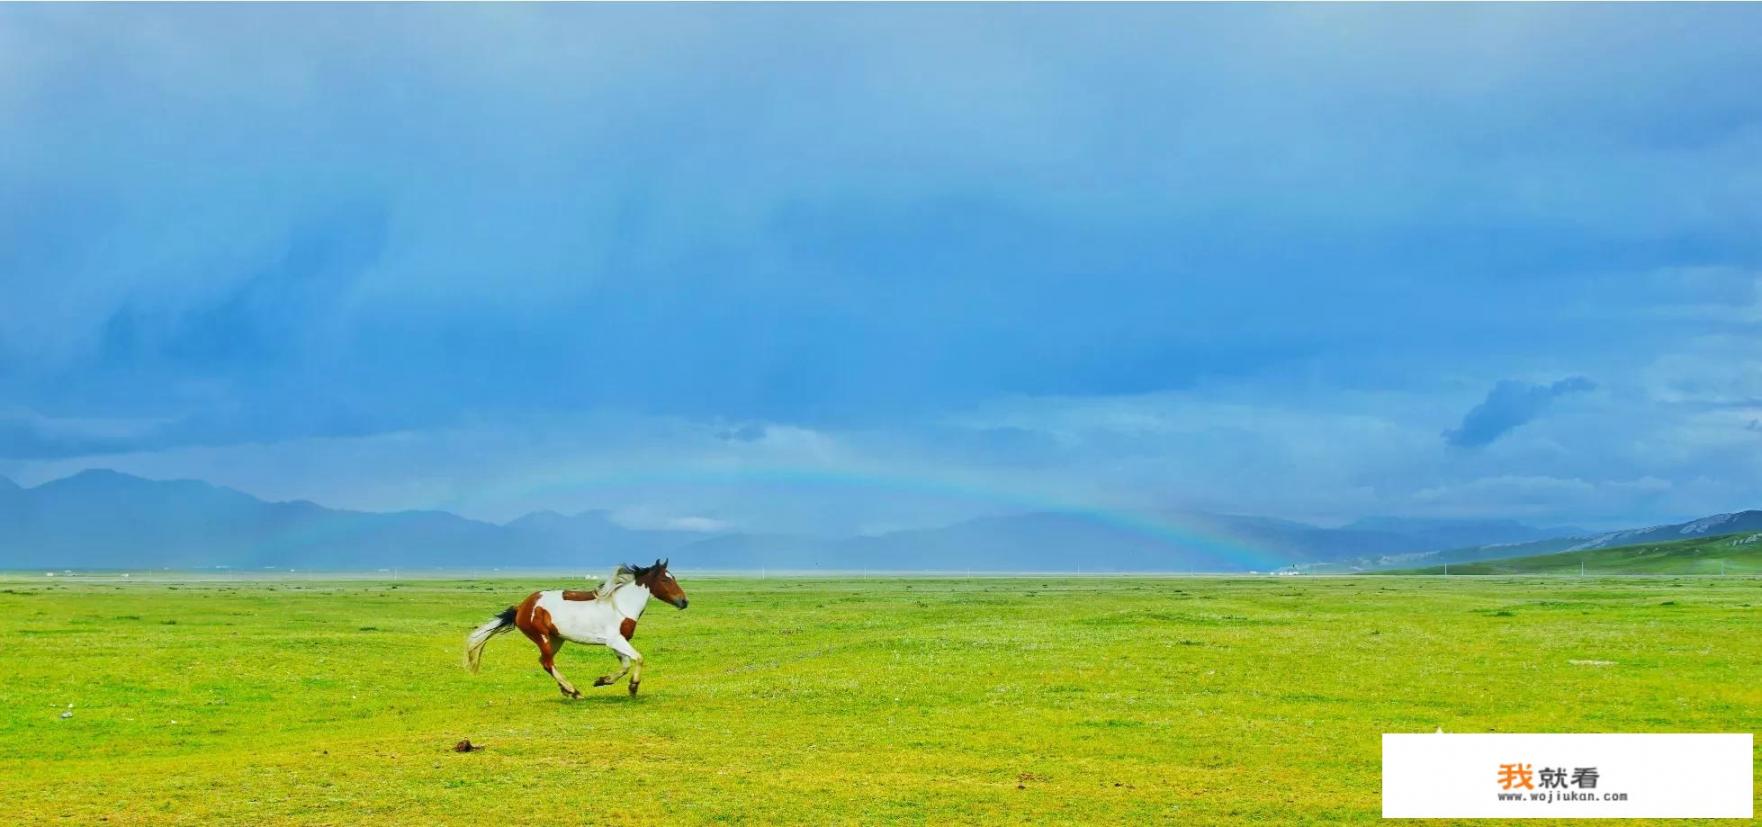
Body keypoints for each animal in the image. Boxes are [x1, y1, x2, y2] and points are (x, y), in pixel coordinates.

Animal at [461, 557, 687, 694]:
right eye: (666, 581)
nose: (684, 602)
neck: (620, 605)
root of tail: (521, 607)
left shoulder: (617, 642)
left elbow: (624, 665)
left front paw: (602, 680)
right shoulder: (615, 640)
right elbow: (638, 658)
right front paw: (633, 686)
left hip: (555, 639)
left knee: (544, 661)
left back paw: (566, 690)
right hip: (542, 637)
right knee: (547, 663)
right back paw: (572, 691)